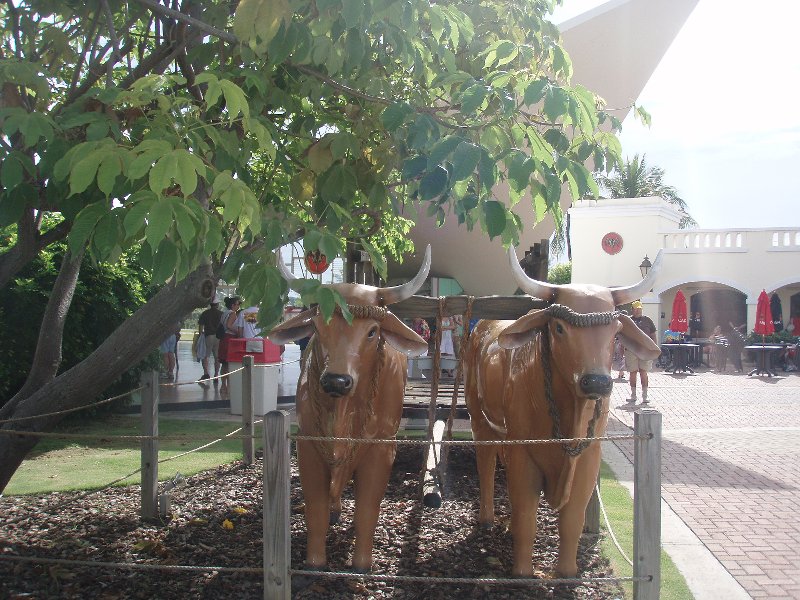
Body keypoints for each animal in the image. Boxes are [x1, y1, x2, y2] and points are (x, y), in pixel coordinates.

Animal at [268, 246, 431, 572]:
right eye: (318, 326)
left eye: (372, 331)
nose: (336, 381)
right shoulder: (307, 444)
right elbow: (315, 508)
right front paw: (315, 562)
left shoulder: (382, 447)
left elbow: (367, 508)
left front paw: (362, 564)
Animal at [464, 248, 662, 577]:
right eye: (559, 327)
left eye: (615, 332)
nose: (597, 381)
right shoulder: (524, 455)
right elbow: (527, 515)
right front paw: (522, 573)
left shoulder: (589, 457)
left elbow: (572, 519)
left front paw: (567, 573)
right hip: (480, 420)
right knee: (486, 464)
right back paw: (488, 518)